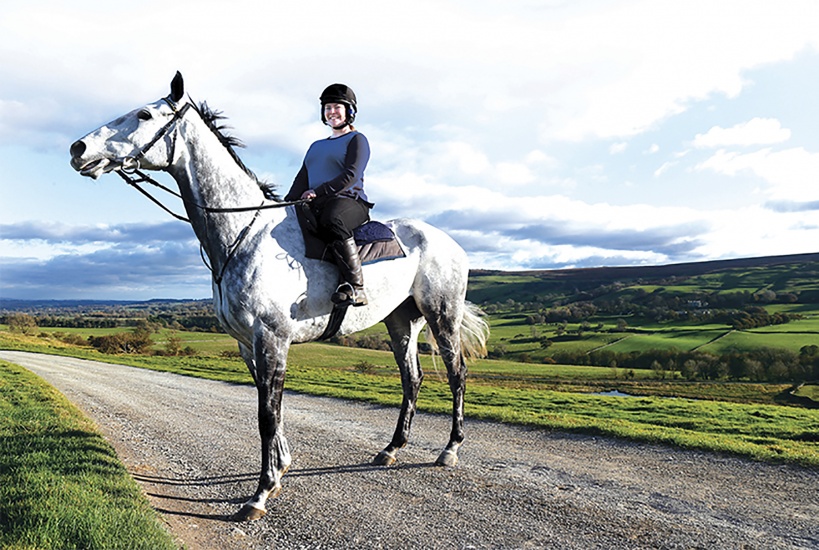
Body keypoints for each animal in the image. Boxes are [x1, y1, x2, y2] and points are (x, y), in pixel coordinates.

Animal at [69, 72, 489, 521]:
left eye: (144, 114)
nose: (78, 149)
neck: (243, 233)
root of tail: (449, 242)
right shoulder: (247, 343)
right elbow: (269, 406)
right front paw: (281, 467)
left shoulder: (271, 338)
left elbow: (267, 415)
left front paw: (260, 493)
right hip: (400, 320)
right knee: (412, 379)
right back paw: (390, 449)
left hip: (442, 316)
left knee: (457, 374)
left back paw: (449, 450)